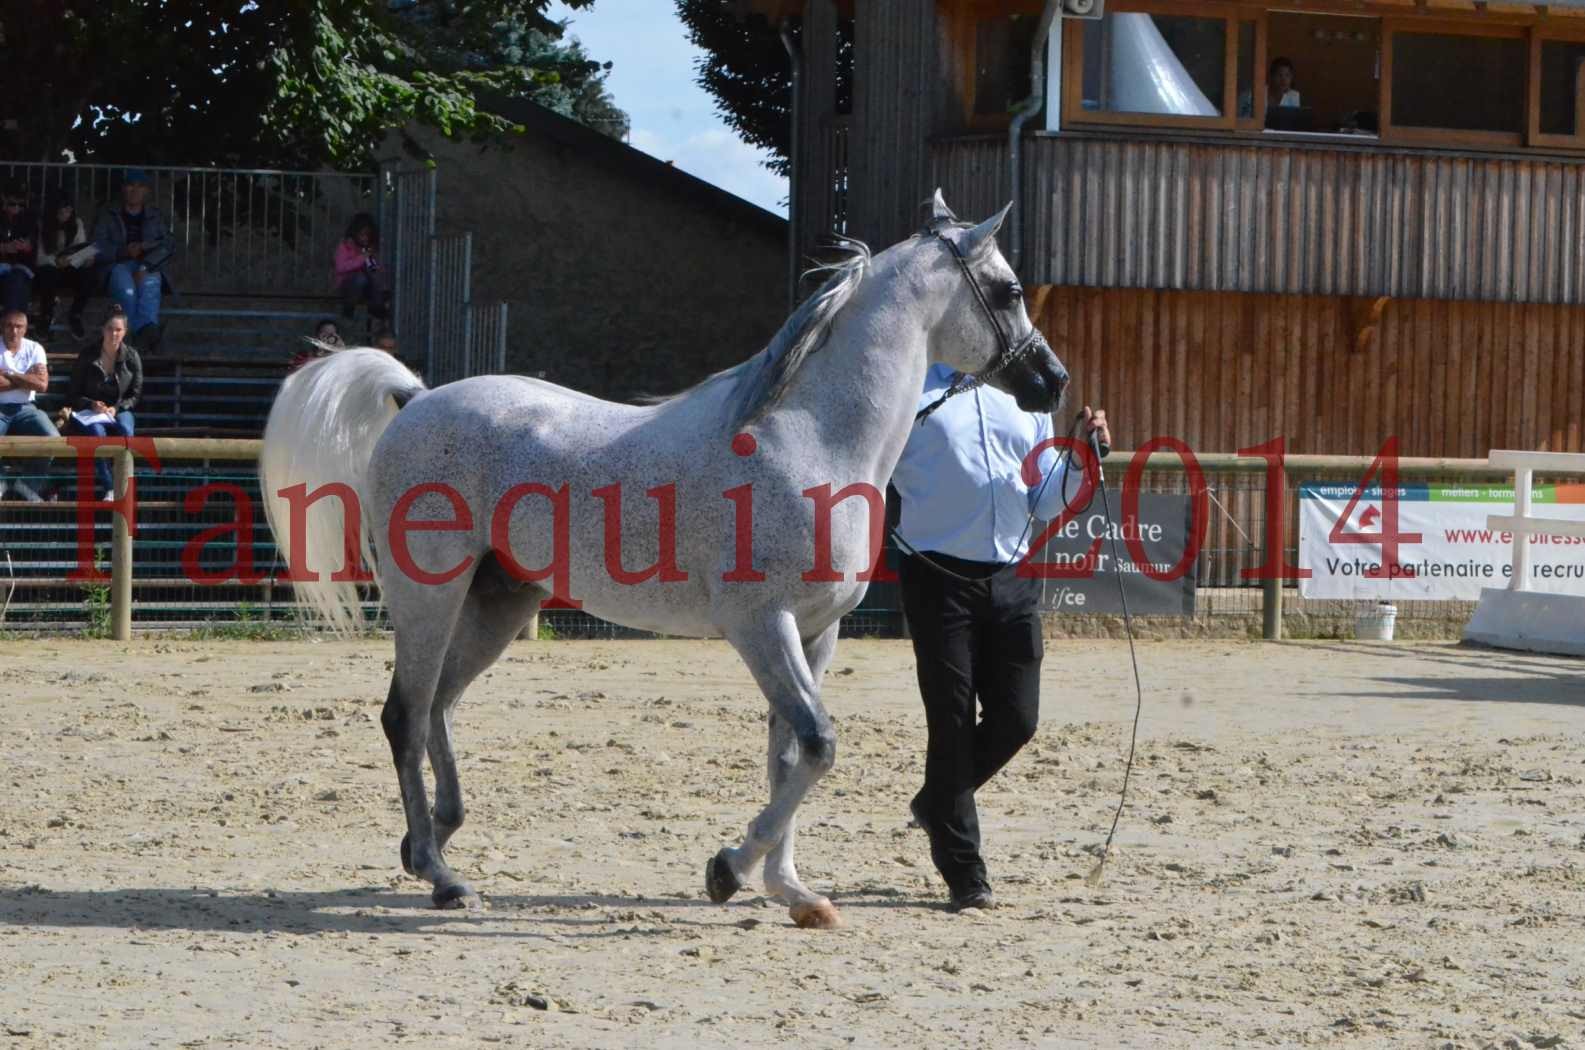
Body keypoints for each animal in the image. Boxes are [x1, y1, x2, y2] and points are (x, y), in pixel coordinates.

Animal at [263, 195, 1065, 932]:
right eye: (1007, 291)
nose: (1050, 381)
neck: (811, 439)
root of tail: (416, 400)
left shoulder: (814, 633)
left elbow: (789, 754)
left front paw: (793, 893)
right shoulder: (760, 626)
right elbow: (816, 743)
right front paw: (727, 871)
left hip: (501, 602)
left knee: (438, 707)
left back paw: (431, 840)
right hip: (427, 594)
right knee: (405, 714)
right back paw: (441, 876)